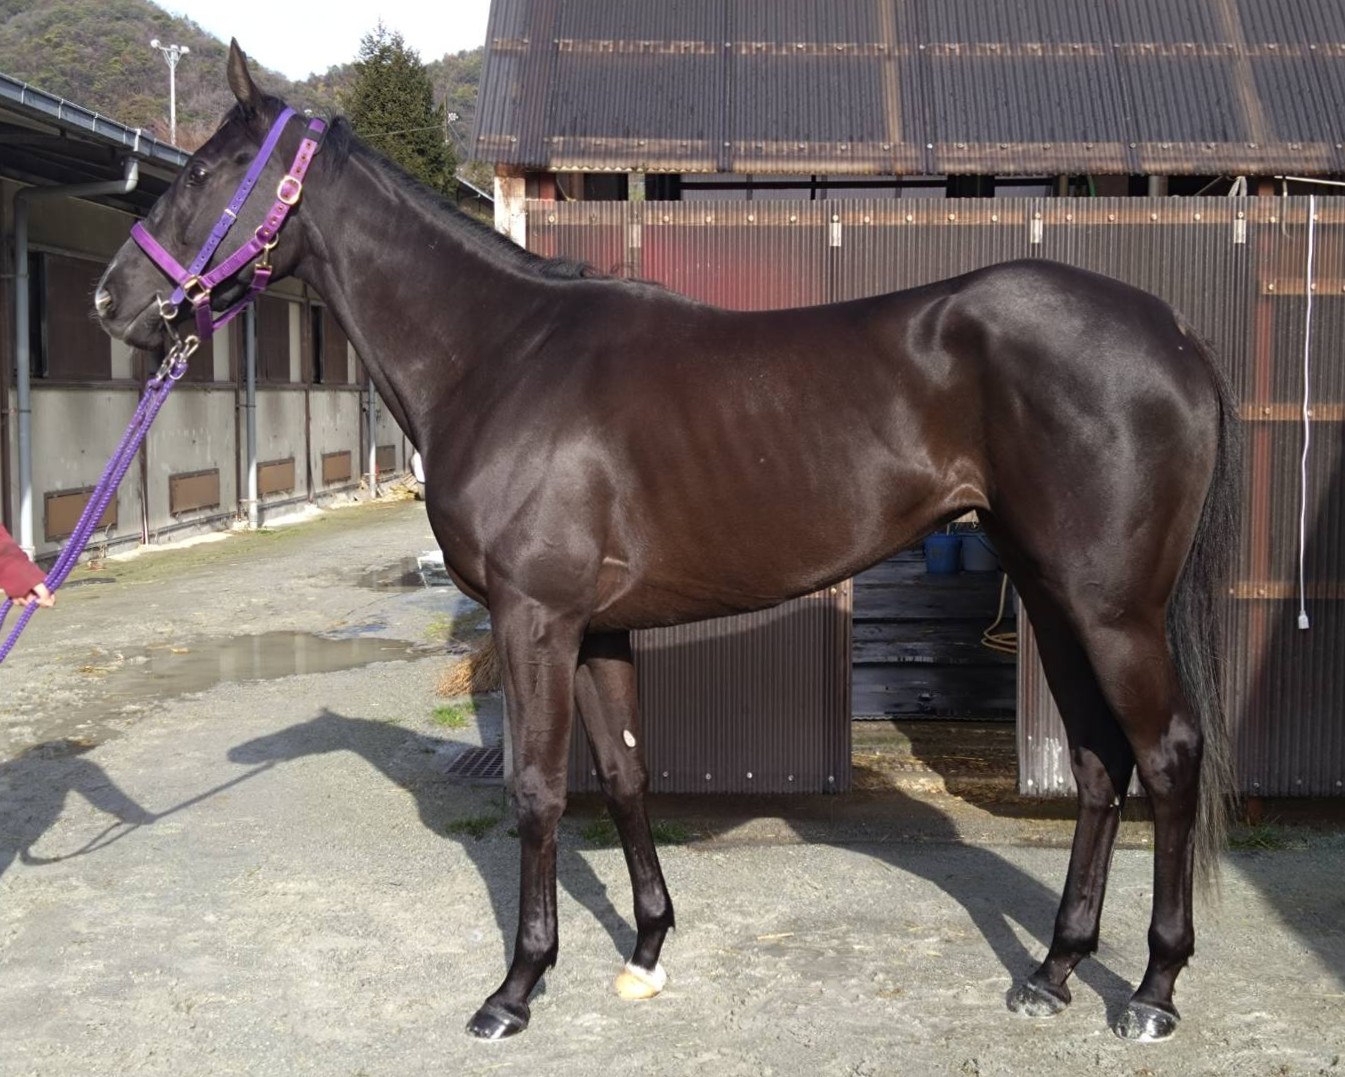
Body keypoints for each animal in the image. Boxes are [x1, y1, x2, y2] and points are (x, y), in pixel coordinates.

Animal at [94, 42, 1238, 1043]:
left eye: (206, 171)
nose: (114, 301)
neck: (501, 356)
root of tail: (1175, 335)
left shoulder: (534, 619)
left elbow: (539, 792)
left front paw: (516, 987)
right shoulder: (595, 629)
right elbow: (627, 775)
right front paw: (645, 950)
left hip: (1111, 608)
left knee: (1167, 755)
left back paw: (1151, 990)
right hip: (1050, 591)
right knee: (1096, 761)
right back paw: (1052, 970)